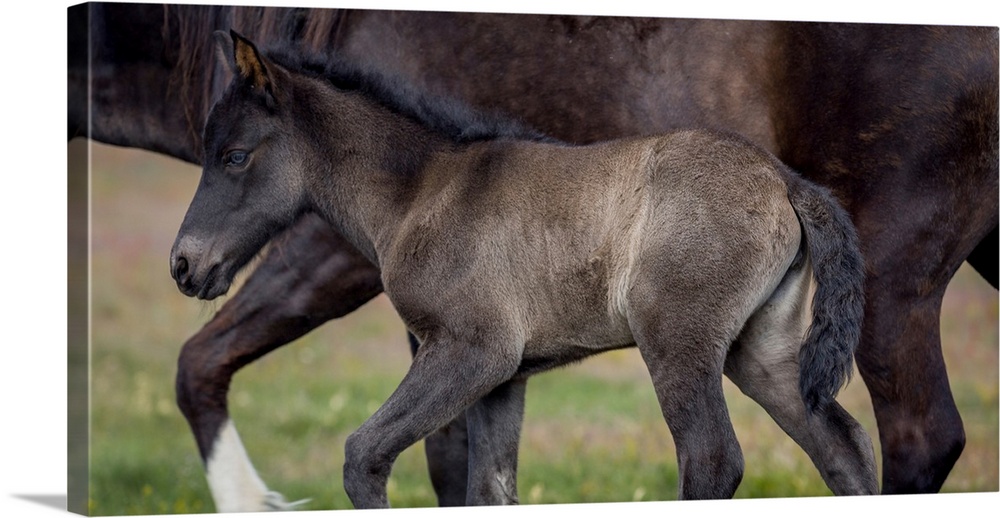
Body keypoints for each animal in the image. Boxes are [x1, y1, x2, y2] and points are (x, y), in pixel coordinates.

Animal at [172, 31, 876, 508]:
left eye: (234, 155)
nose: (184, 265)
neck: (419, 192)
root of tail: (785, 181)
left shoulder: (471, 350)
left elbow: (363, 454)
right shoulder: (505, 378)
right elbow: (491, 489)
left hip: (678, 345)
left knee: (712, 461)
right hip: (760, 352)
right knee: (841, 447)